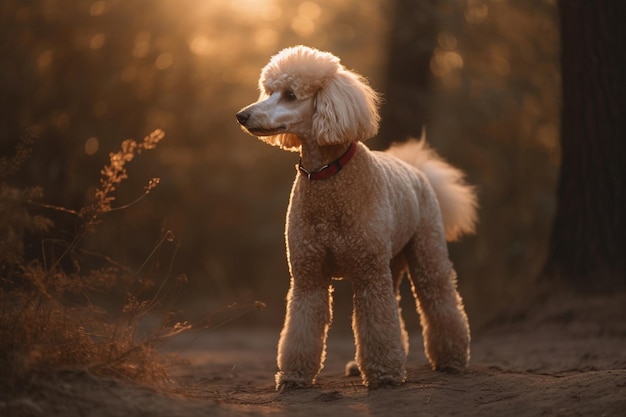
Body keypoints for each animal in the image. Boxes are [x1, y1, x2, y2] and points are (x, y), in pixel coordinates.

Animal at [236, 45, 476, 390]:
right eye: (268, 92)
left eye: (291, 95)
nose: (242, 116)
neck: (327, 177)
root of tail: (416, 169)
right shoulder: (308, 276)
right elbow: (301, 327)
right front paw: (294, 376)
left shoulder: (368, 274)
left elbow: (377, 322)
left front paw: (384, 374)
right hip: (391, 260)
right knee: (397, 304)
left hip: (425, 252)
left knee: (439, 298)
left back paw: (451, 359)